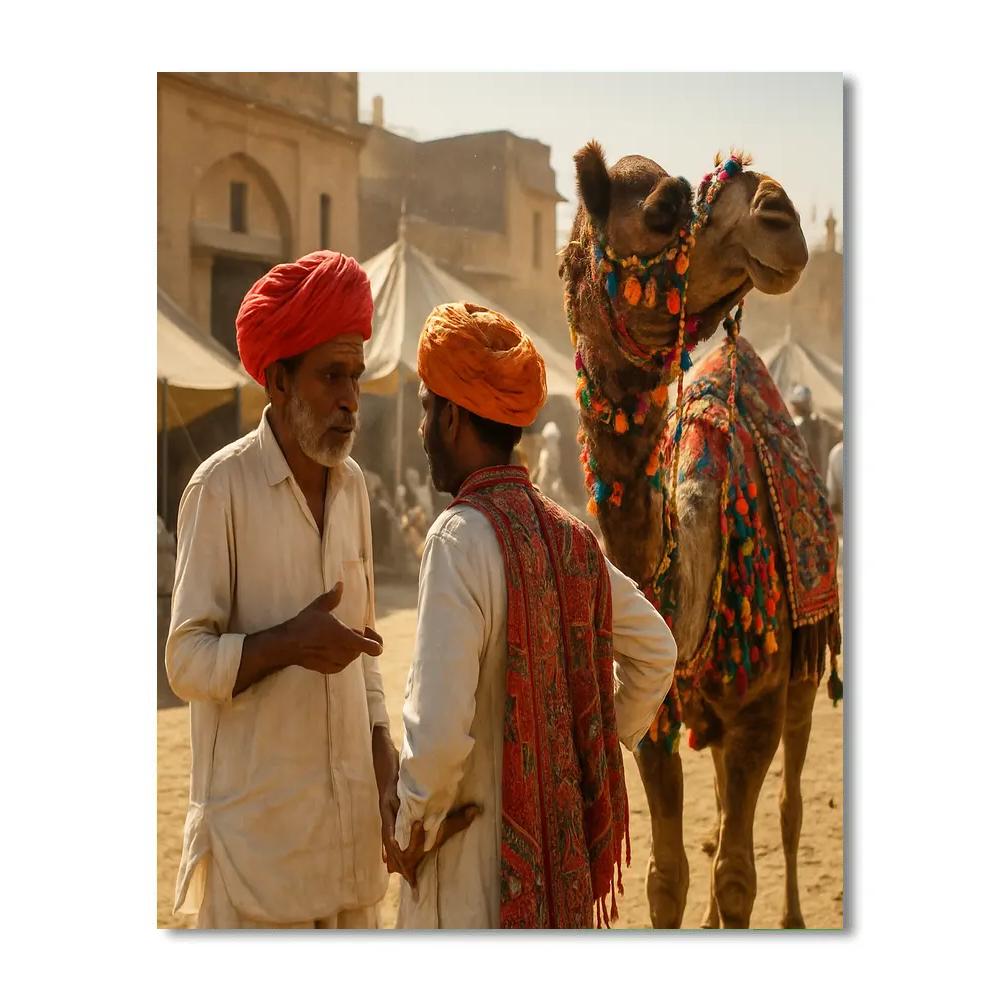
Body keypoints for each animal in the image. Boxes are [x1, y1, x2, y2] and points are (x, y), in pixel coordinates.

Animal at [560, 142, 841, 929]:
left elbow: (737, 876)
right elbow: (669, 878)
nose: (779, 209)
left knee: (787, 806)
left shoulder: (756, 712)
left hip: (803, 673)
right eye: (663, 207)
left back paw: (794, 917)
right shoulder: (653, 724)